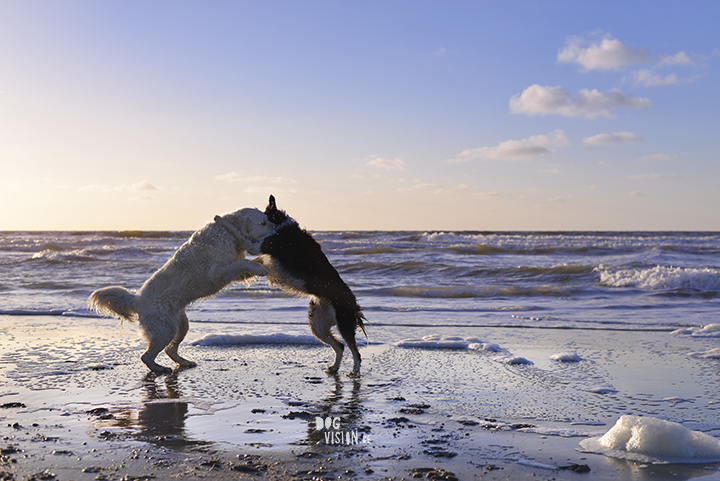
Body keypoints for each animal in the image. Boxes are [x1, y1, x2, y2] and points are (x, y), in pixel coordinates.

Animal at [87, 206, 272, 372]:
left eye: (268, 219)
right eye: (263, 223)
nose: (276, 229)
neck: (227, 233)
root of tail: (136, 299)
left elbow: (244, 264)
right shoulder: (217, 272)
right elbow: (242, 262)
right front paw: (260, 268)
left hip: (181, 325)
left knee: (170, 350)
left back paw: (184, 362)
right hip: (165, 330)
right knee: (146, 356)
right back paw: (160, 369)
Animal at [218, 195, 368, 376]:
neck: (279, 223)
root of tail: (353, 301)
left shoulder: (259, 245)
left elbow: (237, 232)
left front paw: (219, 219)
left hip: (343, 321)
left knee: (355, 351)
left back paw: (355, 372)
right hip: (318, 324)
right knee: (340, 346)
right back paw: (334, 368)